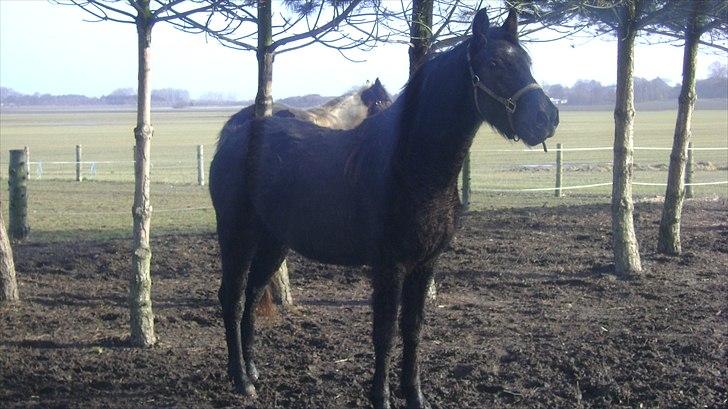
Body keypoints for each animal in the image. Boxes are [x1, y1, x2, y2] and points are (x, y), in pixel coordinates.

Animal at [209, 9, 556, 408]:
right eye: (496, 64)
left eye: (527, 61)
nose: (547, 118)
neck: (411, 167)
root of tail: (236, 136)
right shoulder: (390, 265)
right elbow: (385, 331)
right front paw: (382, 397)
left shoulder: (425, 264)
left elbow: (413, 329)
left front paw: (416, 396)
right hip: (236, 236)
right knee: (233, 298)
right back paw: (241, 380)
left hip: (274, 242)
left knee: (252, 295)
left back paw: (251, 370)